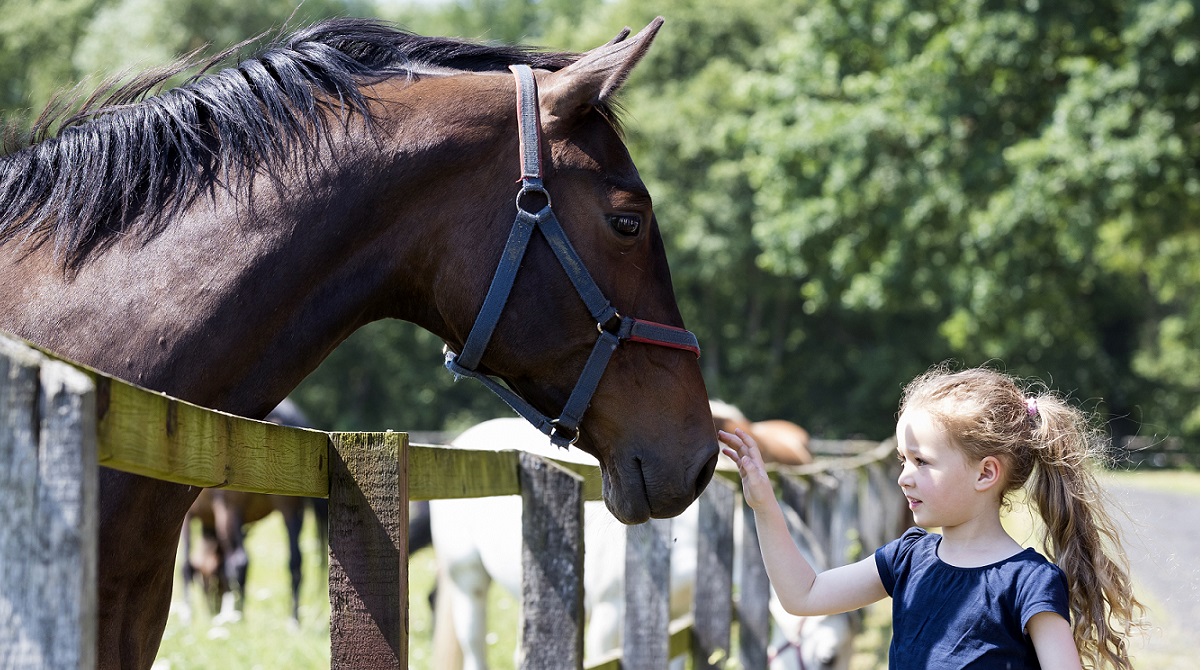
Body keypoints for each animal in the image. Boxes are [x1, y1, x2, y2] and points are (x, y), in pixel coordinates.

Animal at [177, 398, 329, 624]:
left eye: (208, 581)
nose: (213, 609)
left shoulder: (189, 518)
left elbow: (187, 565)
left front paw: (188, 614)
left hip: (230, 510)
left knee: (240, 561)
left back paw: (236, 616)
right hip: (291, 510)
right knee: (295, 560)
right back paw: (292, 620)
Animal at [429, 417, 855, 667]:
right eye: (828, 659)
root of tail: (460, 445)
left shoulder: (675, 619)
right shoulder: (606, 620)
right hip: (468, 583)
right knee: (474, 646)